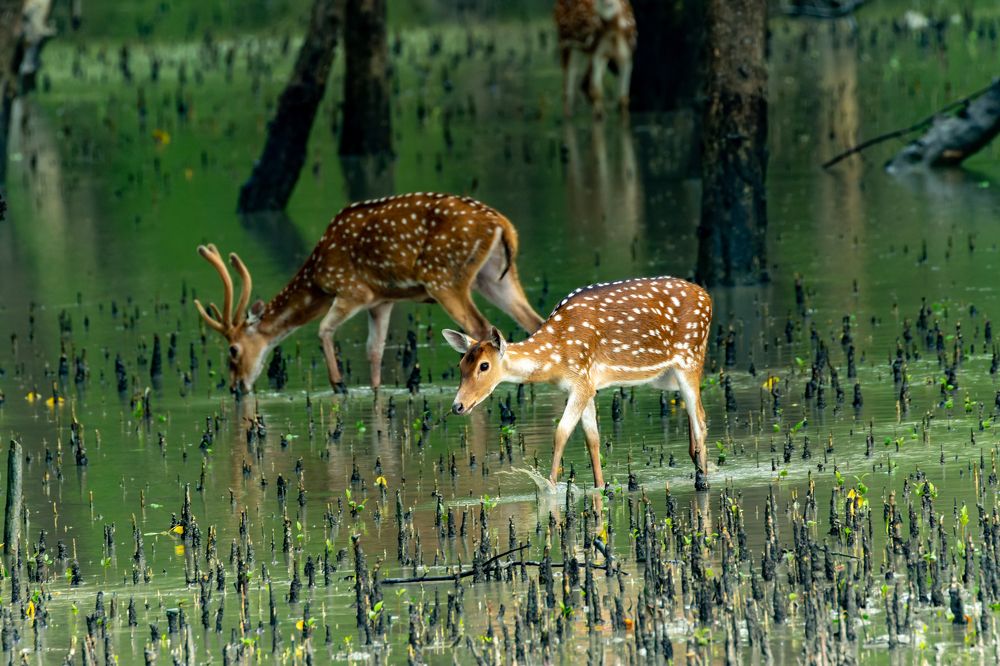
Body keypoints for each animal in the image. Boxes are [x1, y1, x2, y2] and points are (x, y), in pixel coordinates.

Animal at [195, 193, 544, 395]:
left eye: (233, 350)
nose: (236, 387)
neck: (317, 278)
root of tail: (502, 224)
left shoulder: (353, 290)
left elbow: (324, 329)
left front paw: (339, 384)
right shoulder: (382, 299)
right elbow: (374, 349)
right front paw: (374, 389)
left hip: (445, 278)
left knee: (479, 327)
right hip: (495, 277)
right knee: (534, 321)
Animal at [443, 276, 713, 490]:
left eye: (484, 366)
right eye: (461, 365)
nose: (458, 406)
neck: (555, 357)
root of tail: (707, 297)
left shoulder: (581, 381)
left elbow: (561, 432)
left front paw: (549, 486)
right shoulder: (587, 383)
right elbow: (592, 438)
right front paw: (600, 485)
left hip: (690, 357)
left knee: (700, 419)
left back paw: (703, 480)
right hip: (666, 379)